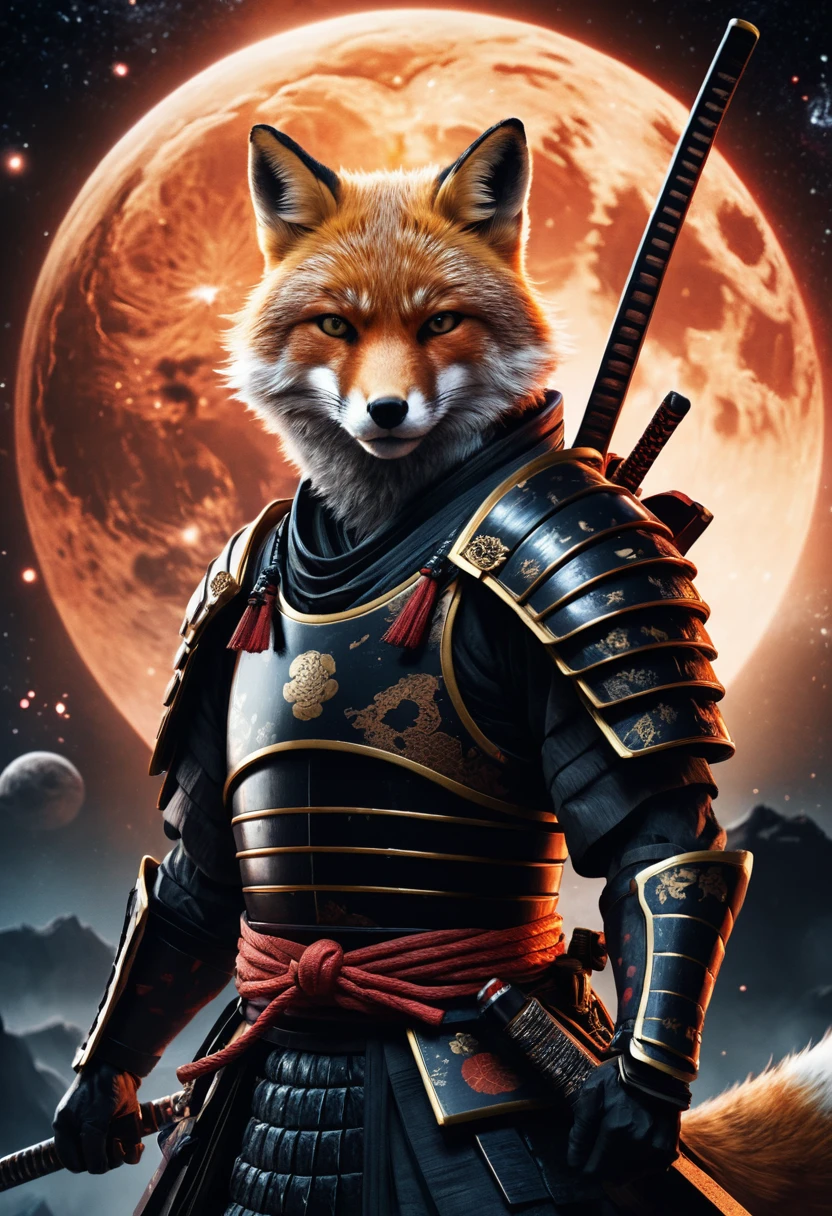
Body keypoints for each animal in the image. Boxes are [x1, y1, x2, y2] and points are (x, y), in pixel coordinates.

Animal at [224, 119, 832, 1215]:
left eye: (443, 322)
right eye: (333, 324)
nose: (385, 411)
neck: (385, 521)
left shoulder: (583, 560)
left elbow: (654, 836)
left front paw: (628, 1110)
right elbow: (187, 873)